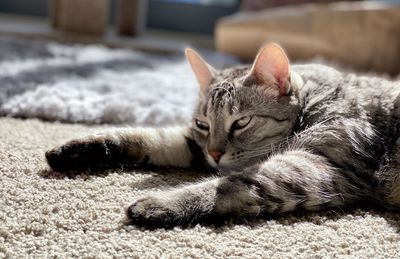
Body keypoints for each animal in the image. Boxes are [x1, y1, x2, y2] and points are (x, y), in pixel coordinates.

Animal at [45, 43, 400, 229]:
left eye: (240, 123)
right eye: (203, 124)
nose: (215, 154)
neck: (314, 98)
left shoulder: (319, 164)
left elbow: (227, 186)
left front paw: (159, 204)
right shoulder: (194, 144)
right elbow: (150, 138)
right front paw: (79, 149)